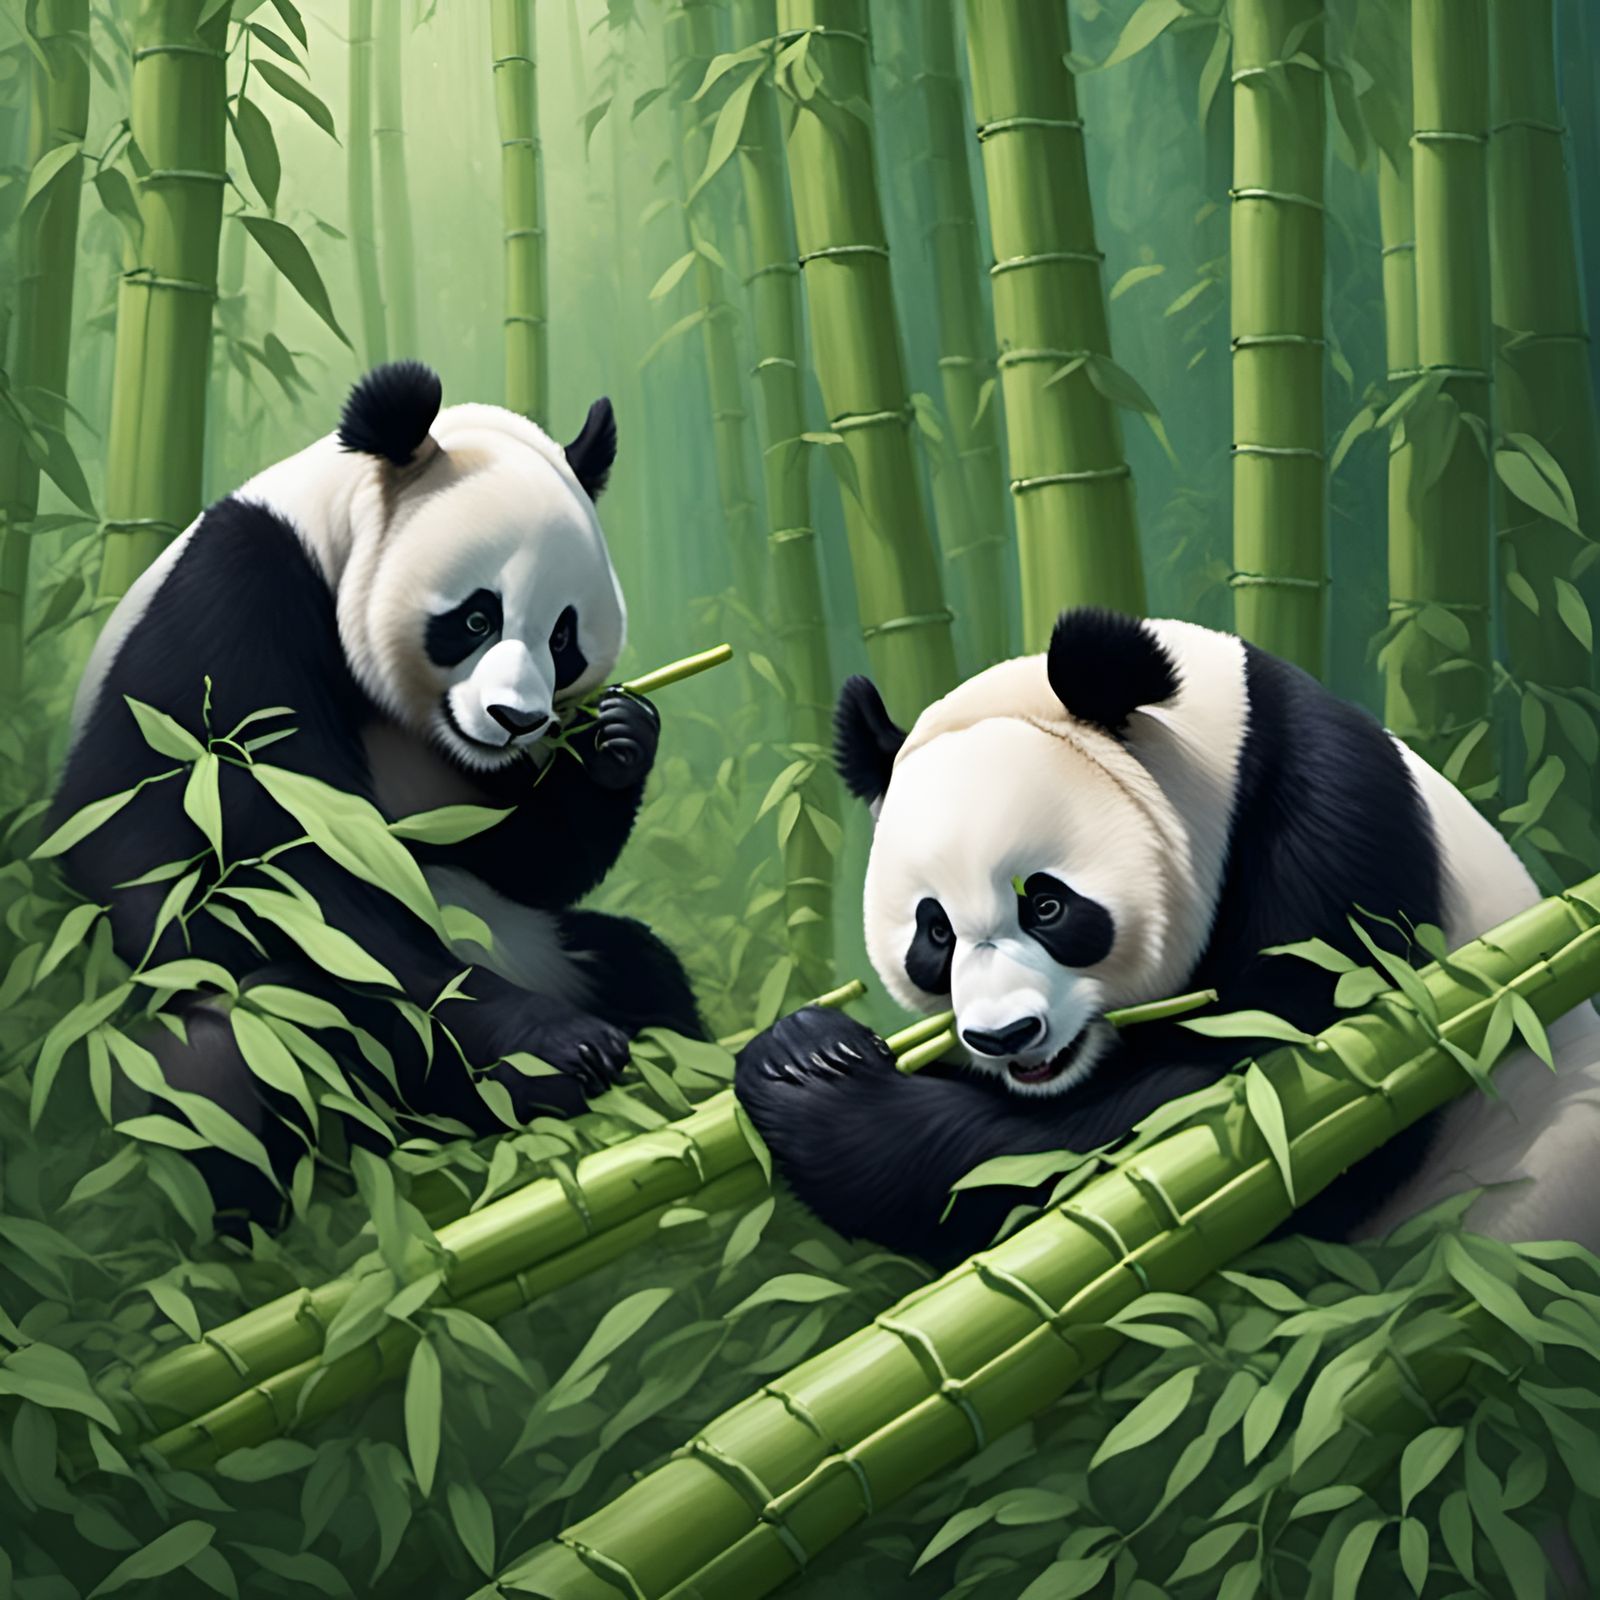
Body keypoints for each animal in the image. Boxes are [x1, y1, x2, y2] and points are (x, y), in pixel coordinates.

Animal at [54, 361, 700, 1219]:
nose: (517, 720)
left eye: (563, 636)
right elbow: (258, 875)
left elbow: (525, 860)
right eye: (477, 619)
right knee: (221, 1067)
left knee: (638, 962)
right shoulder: (230, 613)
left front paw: (618, 739)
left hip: (544, 948)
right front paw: (559, 1047)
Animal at [735, 607, 1600, 1270]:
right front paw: (804, 1045)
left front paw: (819, 1089)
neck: (1226, 750)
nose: (1006, 1036)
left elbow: (1264, 1105)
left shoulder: (1335, 834)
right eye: (935, 931)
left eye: (1046, 906)